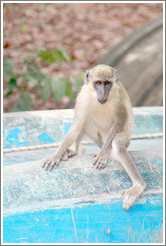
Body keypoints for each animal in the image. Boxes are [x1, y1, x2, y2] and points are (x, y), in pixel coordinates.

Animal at [42, 64, 147, 210]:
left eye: (107, 83)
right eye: (98, 83)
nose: (103, 93)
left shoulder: (118, 95)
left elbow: (121, 118)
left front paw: (102, 154)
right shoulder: (83, 96)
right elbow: (77, 124)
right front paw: (57, 155)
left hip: (125, 139)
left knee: (117, 145)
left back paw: (138, 185)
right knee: (85, 121)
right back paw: (73, 151)